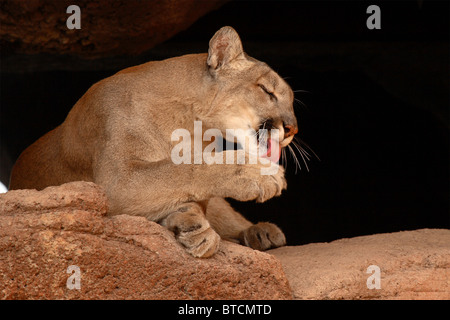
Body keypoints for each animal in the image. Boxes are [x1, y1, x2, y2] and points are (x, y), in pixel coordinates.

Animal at [8, 26, 298, 258]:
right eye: (267, 91)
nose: (293, 128)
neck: (190, 124)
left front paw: (192, 225)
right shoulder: (118, 181)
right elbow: (182, 169)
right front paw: (257, 174)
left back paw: (263, 232)